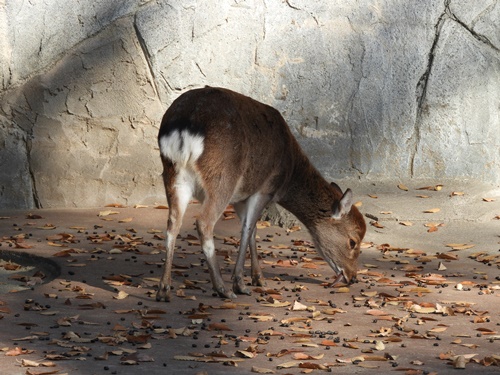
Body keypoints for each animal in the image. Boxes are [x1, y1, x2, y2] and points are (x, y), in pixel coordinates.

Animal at [156, 86, 368, 302]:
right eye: (353, 241)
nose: (352, 276)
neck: (289, 172)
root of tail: (184, 127)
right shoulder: (264, 188)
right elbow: (247, 229)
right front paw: (241, 283)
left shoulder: (241, 197)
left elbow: (252, 230)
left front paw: (258, 278)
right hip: (222, 181)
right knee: (203, 222)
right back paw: (223, 288)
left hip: (174, 177)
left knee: (172, 223)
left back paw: (164, 289)